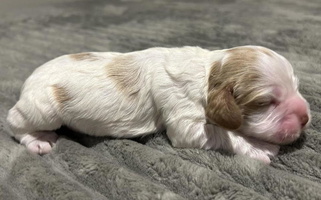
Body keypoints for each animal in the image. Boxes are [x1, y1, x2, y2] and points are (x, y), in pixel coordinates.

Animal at [6, 46, 308, 163]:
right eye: (266, 102)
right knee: (14, 122)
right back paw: (38, 140)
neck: (209, 73)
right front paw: (259, 147)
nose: (306, 118)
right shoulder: (184, 117)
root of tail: (28, 80)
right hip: (43, 108)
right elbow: (224, 133)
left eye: (297, 85)